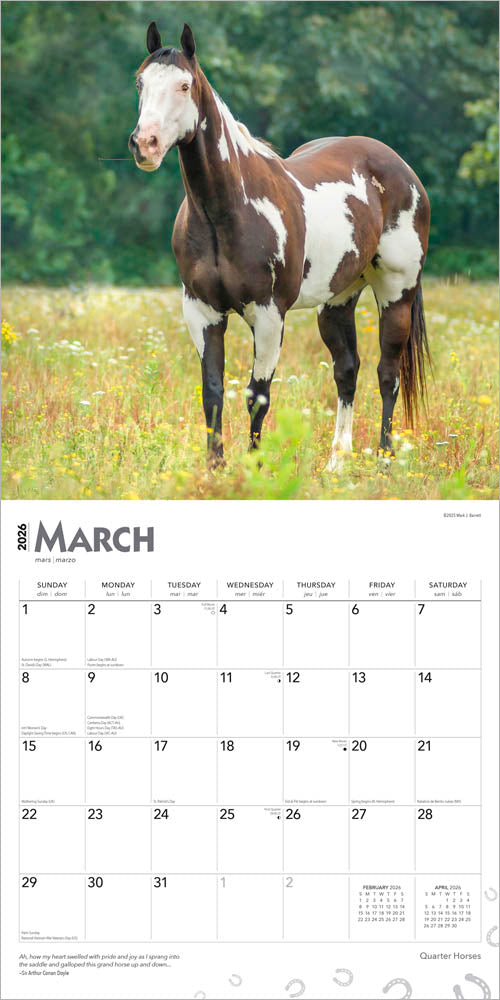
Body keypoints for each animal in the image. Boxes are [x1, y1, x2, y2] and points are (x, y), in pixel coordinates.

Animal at [129, 21, 431, 470]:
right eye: (140, 82)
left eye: (184, 85)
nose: (144, 144)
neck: (226, 211)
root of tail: (401, 168)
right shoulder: (202, 312)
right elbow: (213, 393)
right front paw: (215, 469)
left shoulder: (269, 315)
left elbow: (258, 397)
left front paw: (254, 470)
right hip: (338, 300)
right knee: (347, 370)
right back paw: (337, 463)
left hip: (397, 292)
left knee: (388, 374)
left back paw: (384, 460)